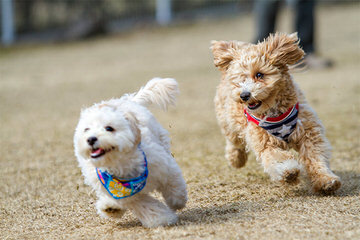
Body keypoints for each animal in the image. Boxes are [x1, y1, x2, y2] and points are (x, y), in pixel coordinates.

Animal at [72, 78, 187, 228]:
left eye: (109, 128)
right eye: (86, 129)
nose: (91, 139)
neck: (120, 165)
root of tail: (127, 99)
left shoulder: (164, 166)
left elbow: (174, 183)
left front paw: (177, 202)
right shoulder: (126, 196)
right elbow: (146, 206)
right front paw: (162, 218)